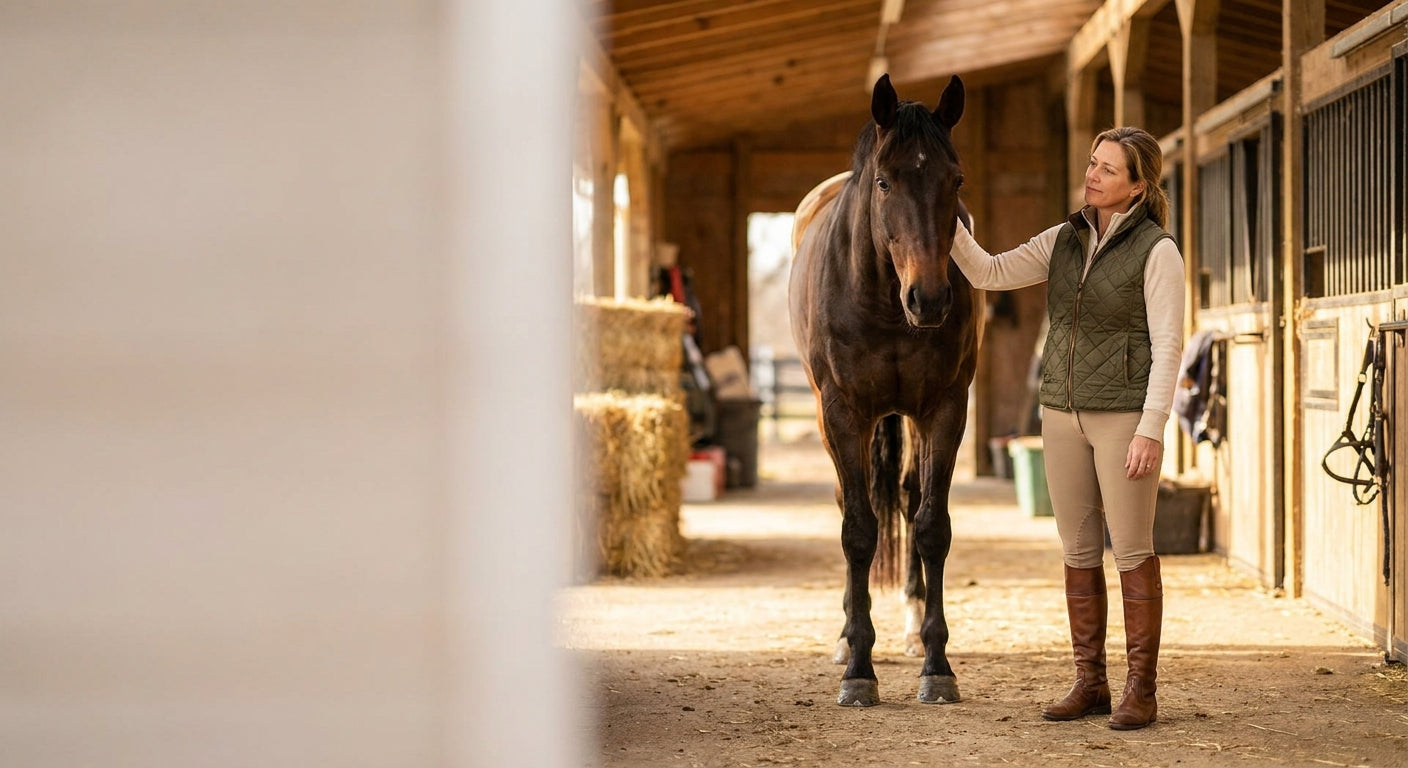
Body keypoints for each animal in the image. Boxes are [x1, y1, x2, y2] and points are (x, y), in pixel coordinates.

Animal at [788, 74, 983, 707]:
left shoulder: (946, 408)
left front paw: (937, 666)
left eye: (955, 180)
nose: (930, 298)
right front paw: (858, 670)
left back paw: (910, 629)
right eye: (884, 181)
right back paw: (846, 637)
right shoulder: (842, 413)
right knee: (853, 505)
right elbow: (857, 530)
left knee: (907, 495)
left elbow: (930, 526)